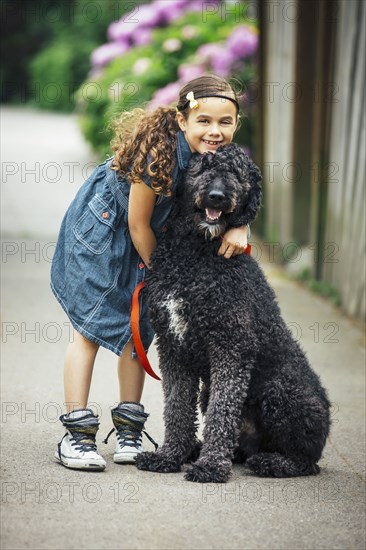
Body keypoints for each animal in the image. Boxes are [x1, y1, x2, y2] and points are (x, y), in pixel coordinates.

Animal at [135, 146, 332, 484]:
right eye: (203, 167)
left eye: (238, 175)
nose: (216, 197)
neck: (195, 254)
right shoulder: (173, 347)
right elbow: (176, 407)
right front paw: (169, 456)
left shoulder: (231, 347)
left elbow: (222, 412)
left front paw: (211, 466)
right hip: (211, 392)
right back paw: (200, 450)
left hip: (281, 390)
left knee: (306, 462)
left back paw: (270, 462)